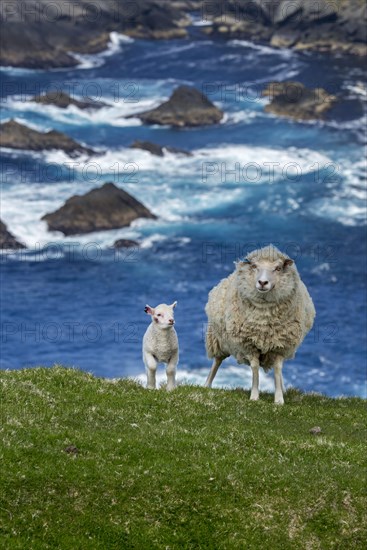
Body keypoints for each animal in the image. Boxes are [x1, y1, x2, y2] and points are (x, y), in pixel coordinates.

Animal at [204, 246, 316, 406]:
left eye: (278, 268)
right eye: (255, 266)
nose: (262, 282)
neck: (264, 320)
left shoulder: (281, 345)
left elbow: (278, 369)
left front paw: (279, 398)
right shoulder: (249, 345)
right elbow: (255, 368)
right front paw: (254, 395)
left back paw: (284, 389)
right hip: (218, 339)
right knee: (217, 361)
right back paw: (207, 384)